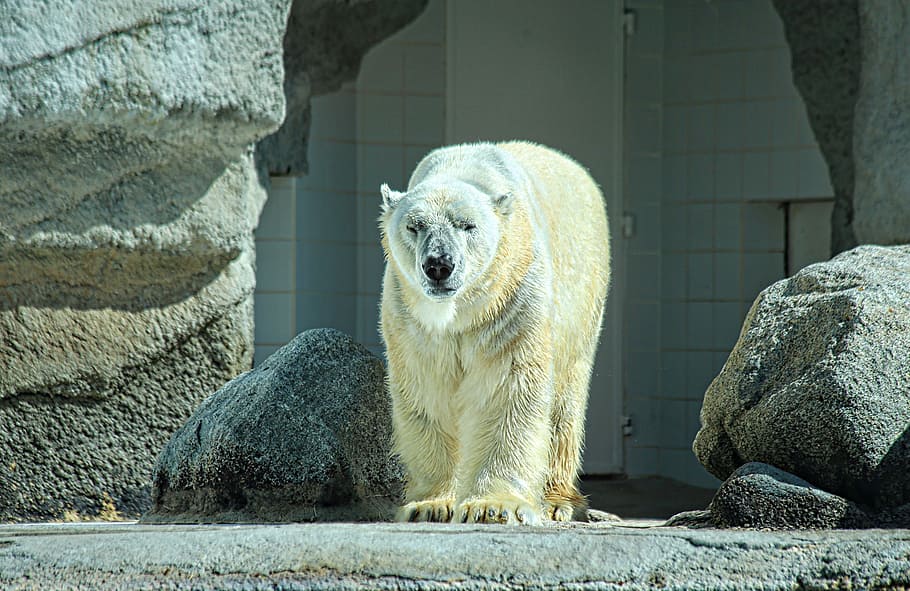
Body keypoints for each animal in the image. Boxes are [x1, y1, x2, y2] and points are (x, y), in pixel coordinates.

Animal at [378, 141, 610, 525]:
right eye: (415, 226)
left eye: (467, 225)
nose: (438, 265)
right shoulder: (410, 312)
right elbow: (429, 390)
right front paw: (430, 505)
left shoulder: (511, 295)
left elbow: (507, 387)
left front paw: (494, 506)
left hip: (585, 297)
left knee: (566, 399)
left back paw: (557, 502)